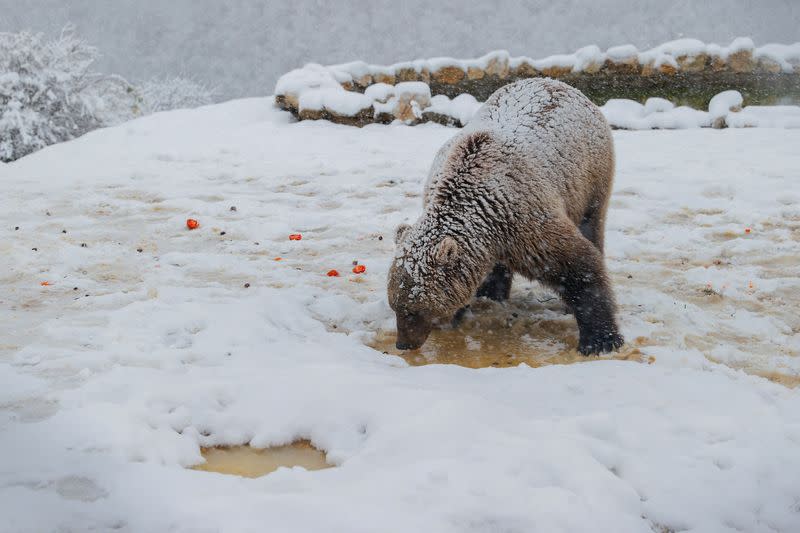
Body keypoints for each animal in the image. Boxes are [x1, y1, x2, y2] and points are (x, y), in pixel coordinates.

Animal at [388, 78, 624, 354]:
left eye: (413, 310)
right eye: (394, 305)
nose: (403, 343)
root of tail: (556, 83)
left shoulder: (526, 219)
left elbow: (576, 265)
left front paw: (600, 340)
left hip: (590, 177)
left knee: (592, 226)